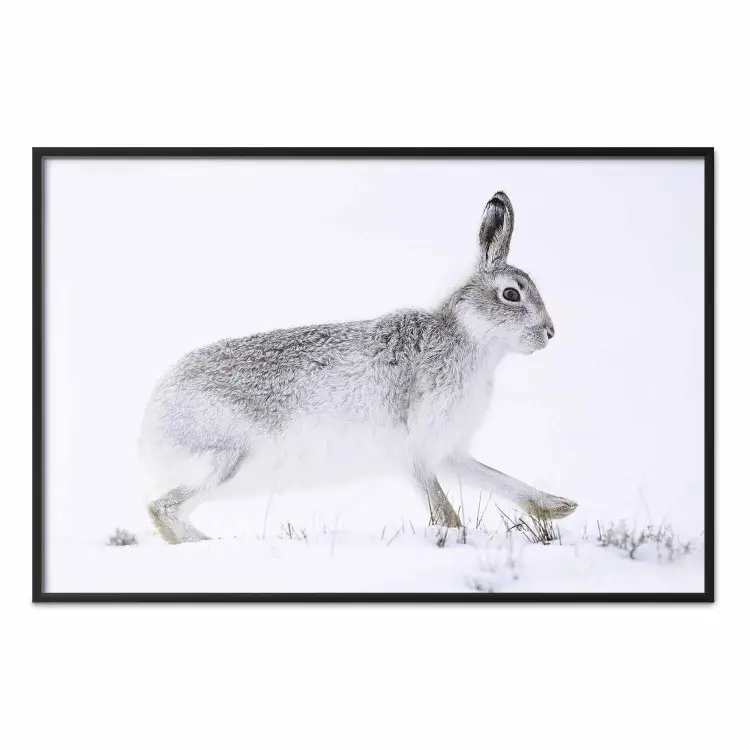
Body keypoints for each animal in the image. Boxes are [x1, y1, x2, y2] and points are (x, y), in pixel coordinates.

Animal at [139, 190, 577, 543]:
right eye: (511, 294)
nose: (550, 332)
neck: (468, 337)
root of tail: (152, 422)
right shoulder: (415, 447)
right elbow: (442, 506)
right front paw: (456, 535)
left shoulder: (447, 449)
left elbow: (497, 478)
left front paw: (559, 507)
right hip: (230, 460)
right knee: (162, 508)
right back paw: (207, 544)